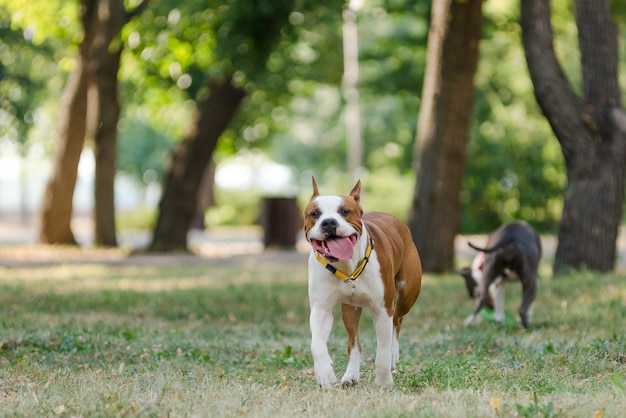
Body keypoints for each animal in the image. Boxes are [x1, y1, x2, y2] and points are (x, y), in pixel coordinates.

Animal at [302, 177, 422, 388]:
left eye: (344, 211)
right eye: (315, 213)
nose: (329, 222)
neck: (346, 267)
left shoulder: (382, 309)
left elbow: (382, 351)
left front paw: (383, 381)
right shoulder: (321, 309)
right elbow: (317, 344)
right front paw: (324, 373)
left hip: (407, 295)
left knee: (397, 322)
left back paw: (394, 355)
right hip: (350, 309)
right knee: (354, 342)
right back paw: (351, 374)